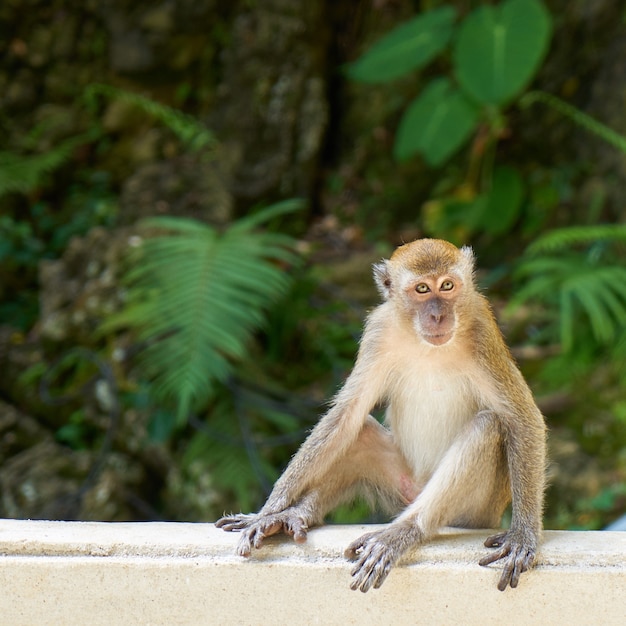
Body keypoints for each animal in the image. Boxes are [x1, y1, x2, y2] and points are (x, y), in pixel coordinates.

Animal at [216, 238, 544, 588]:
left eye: (448, 286)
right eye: (422, 289)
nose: (438, 315)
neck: (424, 343)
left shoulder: (483, 330)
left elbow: (522, 418)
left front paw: (523, 536)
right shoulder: (378, 330)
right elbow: (347, 415)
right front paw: (268, 510)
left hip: (475, 510)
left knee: (487, 426)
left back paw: (402, 532)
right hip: (402, 484)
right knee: (359, 434)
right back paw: (295, 514)